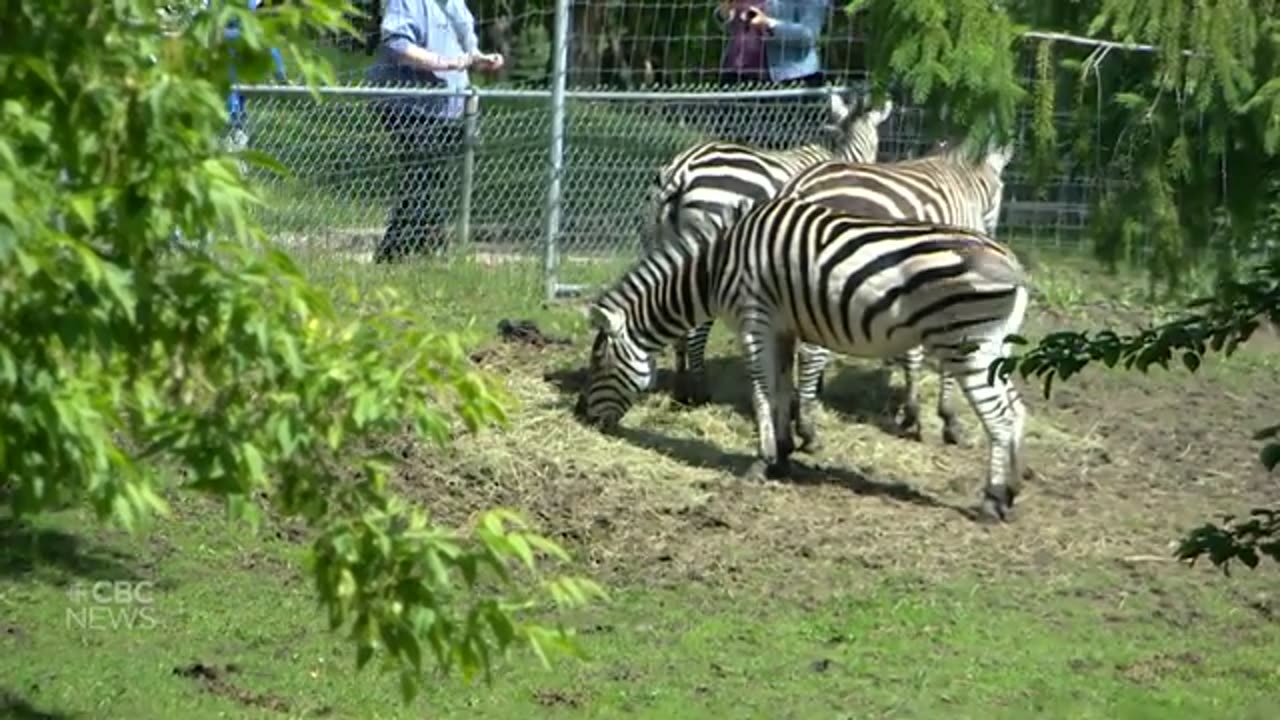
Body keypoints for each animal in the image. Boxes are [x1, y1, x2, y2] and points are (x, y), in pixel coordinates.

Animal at [578, 194, 1029, 520]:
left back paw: (992, 501)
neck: (715, 266)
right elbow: (781, 389)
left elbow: (761, 391)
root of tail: (1012, 261)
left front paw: (762, 462)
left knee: (1000, 418)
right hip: (995, 347)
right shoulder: (783, 327)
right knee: (1017, 409)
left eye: (599, 364)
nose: (583, 418)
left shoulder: (754, 319)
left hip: (967, 343)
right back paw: (1012, 490)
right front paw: (783, 453)